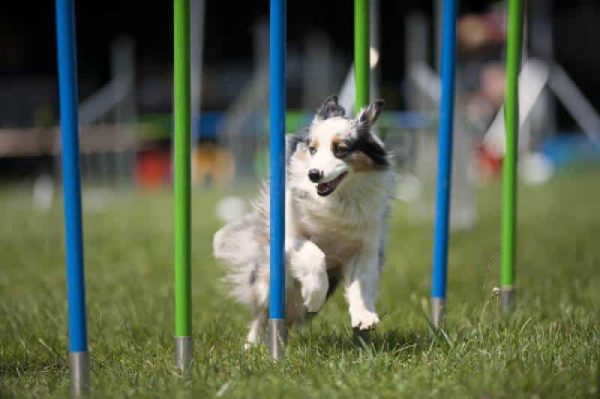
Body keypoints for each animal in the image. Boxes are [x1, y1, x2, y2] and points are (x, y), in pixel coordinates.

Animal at [213, 95, 396, 348]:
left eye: (341, 149)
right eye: (313, 149)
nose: (314, 174)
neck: (337, 200)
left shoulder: (365, 245)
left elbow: (362, 283)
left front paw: (364, 317)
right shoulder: (290, 237)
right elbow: (315, 255)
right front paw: (314, 295)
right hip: (268, 280)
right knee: (261, 314)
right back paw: (251, 346)